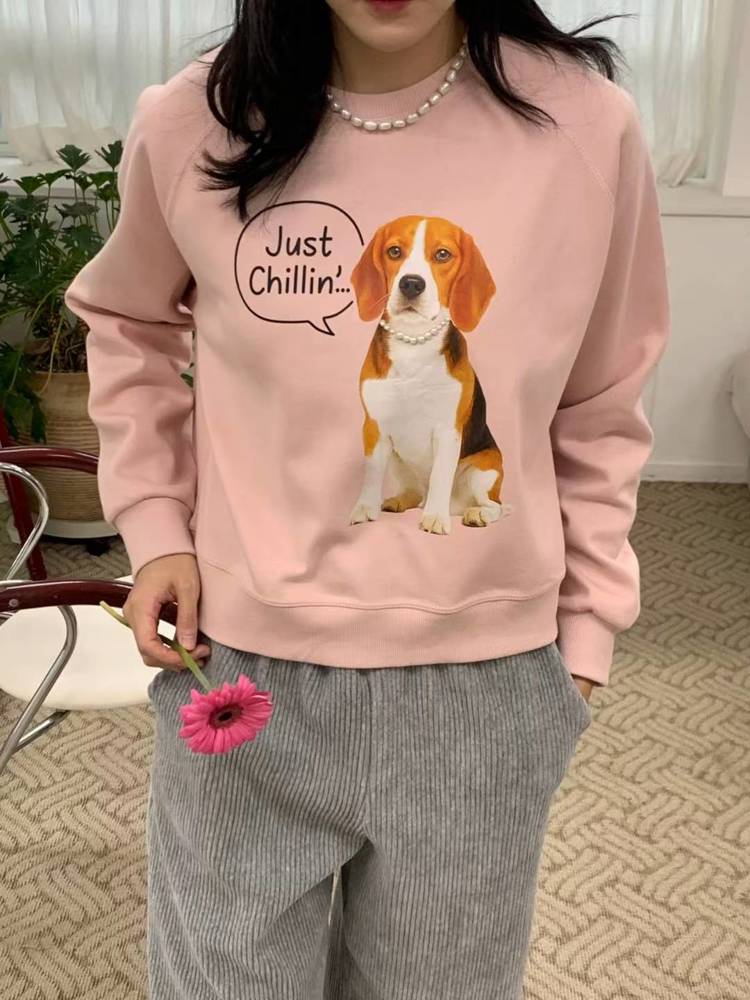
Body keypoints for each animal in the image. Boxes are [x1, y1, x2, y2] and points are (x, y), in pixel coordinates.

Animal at [348, 214, 507, 535]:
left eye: (443, 254)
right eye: (394, 251)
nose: (411, 284)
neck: (413, 342)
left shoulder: (448, 430)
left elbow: (440, 478)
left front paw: (435, 518)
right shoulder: (374, 426)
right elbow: (371, 475)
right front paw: (365, 508)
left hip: (485, 469)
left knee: (495, 505)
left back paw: (476, 513)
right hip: (398, 459)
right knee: (414, 492)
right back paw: (399, 500)